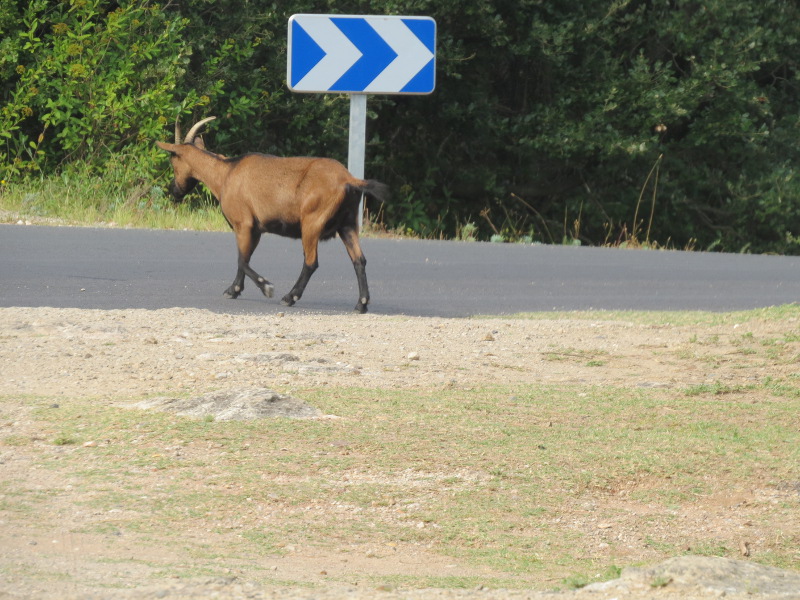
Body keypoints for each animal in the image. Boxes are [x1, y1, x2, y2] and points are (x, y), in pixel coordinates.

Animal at [155, 117, 388, 314]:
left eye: (173, 162)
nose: (174, 190)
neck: (226, 173)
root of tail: (349, 180)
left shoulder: (243, 223)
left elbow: (241, 259)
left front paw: (265, 287)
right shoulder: (256, 229)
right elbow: (245, 258)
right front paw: (233, 290)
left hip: (312, 222)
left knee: (311, 262)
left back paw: (289, 297)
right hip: (347, 224)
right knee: (359, 260)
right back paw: (361, 304)